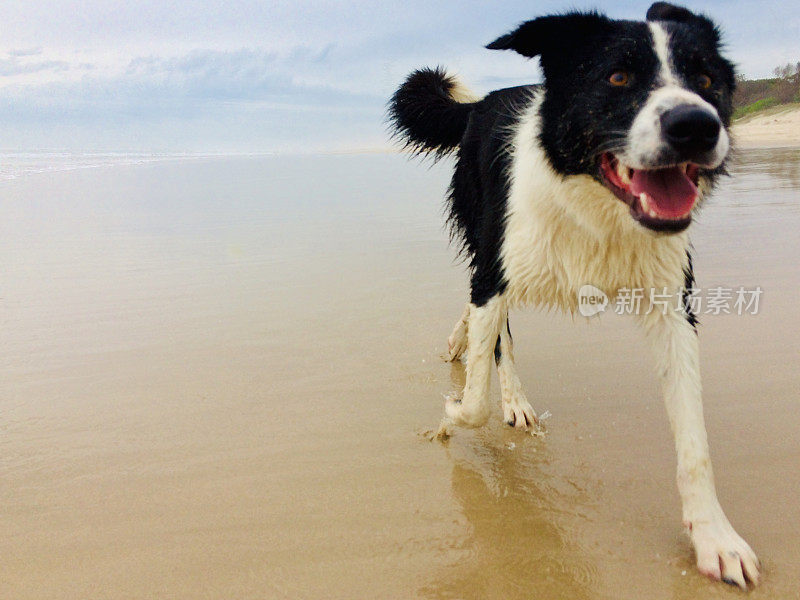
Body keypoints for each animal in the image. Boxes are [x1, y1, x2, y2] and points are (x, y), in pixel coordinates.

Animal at [390, 0, 760, 592]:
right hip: (485, 230)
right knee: (494, 322)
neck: (596, 204)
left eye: (705, 80)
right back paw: (507, 392)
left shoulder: (672, 301)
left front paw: (716, 540)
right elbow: (474, 400)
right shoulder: (497, 267)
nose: (697, 127)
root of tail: (481, 104)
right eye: (617, 76)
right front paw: (448, 418)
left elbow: (695, 441)